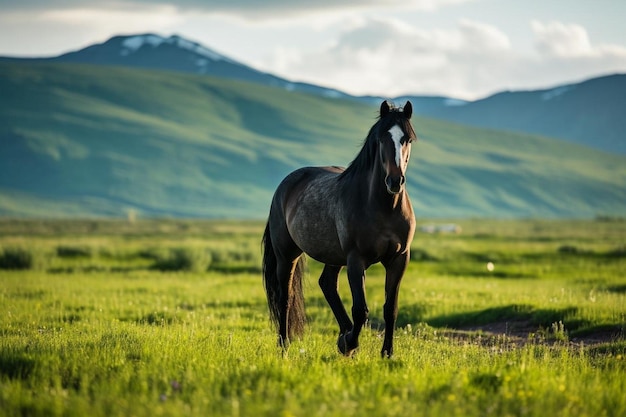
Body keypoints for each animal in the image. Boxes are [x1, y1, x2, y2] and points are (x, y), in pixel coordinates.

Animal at [260, 99, 416, 356]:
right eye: (381, 138)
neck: (383, 207)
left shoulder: (399, 259)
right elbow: (361, 310)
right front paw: (351, 343)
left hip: (333, 256)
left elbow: (390, 309)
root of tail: (285, 185)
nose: (395, 181)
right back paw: (285, 345)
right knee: (285, 297)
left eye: (408, 139)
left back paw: (343, 334)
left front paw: (386, 353)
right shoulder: (356, 260)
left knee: (327, 284)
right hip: (287, 255)